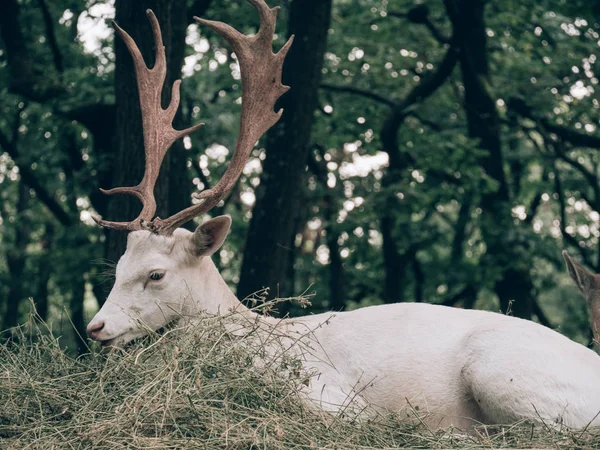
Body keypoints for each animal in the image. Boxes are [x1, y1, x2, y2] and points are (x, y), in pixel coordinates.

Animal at [88, 0, 600, 432]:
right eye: (118, 268)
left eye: (156, 274)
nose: (96, 327)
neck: (250, 339)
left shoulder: (331, 397)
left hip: (502, 373)